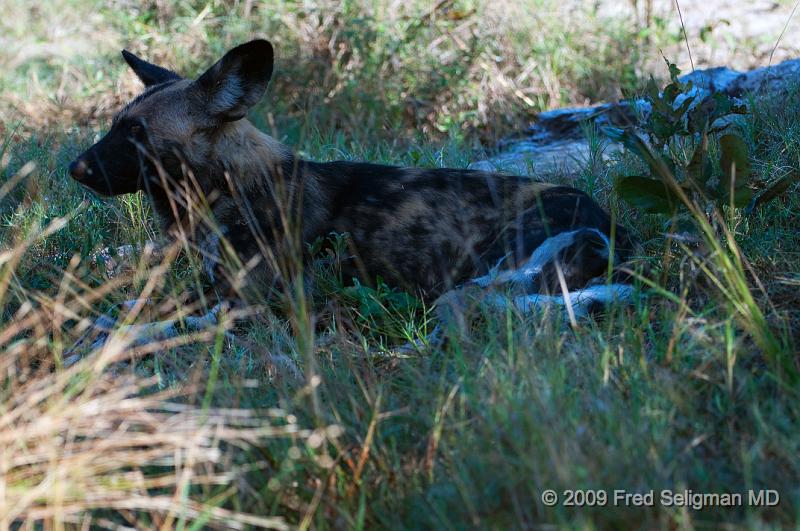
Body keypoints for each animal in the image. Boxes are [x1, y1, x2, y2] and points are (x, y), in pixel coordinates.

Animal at [67, 40, 632, 350]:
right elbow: (128, 305)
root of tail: (613, 230)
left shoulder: (247, 308)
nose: (74, 169)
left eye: (136, 133)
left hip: (483, 280)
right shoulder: (212, 288)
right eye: (116, 124)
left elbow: (138, 328)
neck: (231, 189)